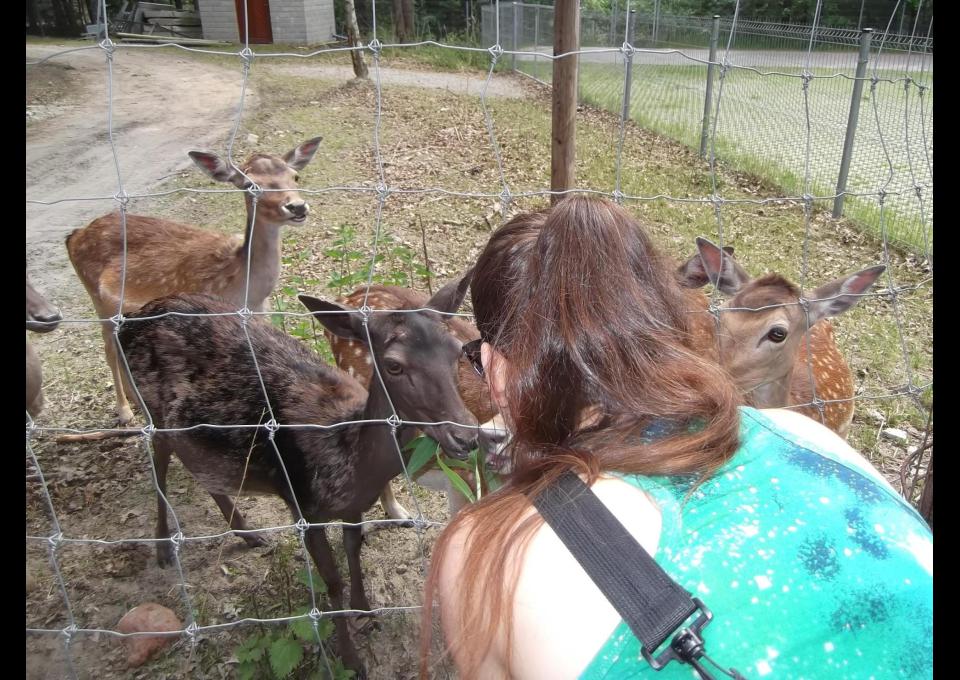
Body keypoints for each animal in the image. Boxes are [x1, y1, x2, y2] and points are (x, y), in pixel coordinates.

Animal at [66, 136, 326, 424]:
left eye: (295, 176)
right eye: (250, 184)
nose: (297, 206)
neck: (245, 291)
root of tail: (74, 236)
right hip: (100, 303)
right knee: (109, 350)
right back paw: (125, 411)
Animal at [118, 274, 478, 676]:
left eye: (457, 351)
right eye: (394, 365)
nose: (466, 436)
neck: (348, 462)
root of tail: (131, 318)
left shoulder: (353, 506)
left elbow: (354, 549)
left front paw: (365, 611)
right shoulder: (302, 505)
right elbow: (332, 581)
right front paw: (351, 659)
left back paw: (248, 534)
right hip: (151, 407)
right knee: (160, 460)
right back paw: (165, 546)